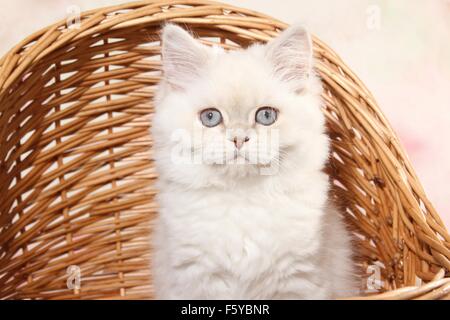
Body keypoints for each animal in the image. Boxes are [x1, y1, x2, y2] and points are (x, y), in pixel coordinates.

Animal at [151, 23, 358, 298]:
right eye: (210, 117)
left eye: (266, 116)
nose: (239, 139)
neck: (243, 199)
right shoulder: (192, 280)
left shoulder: (300, 279)